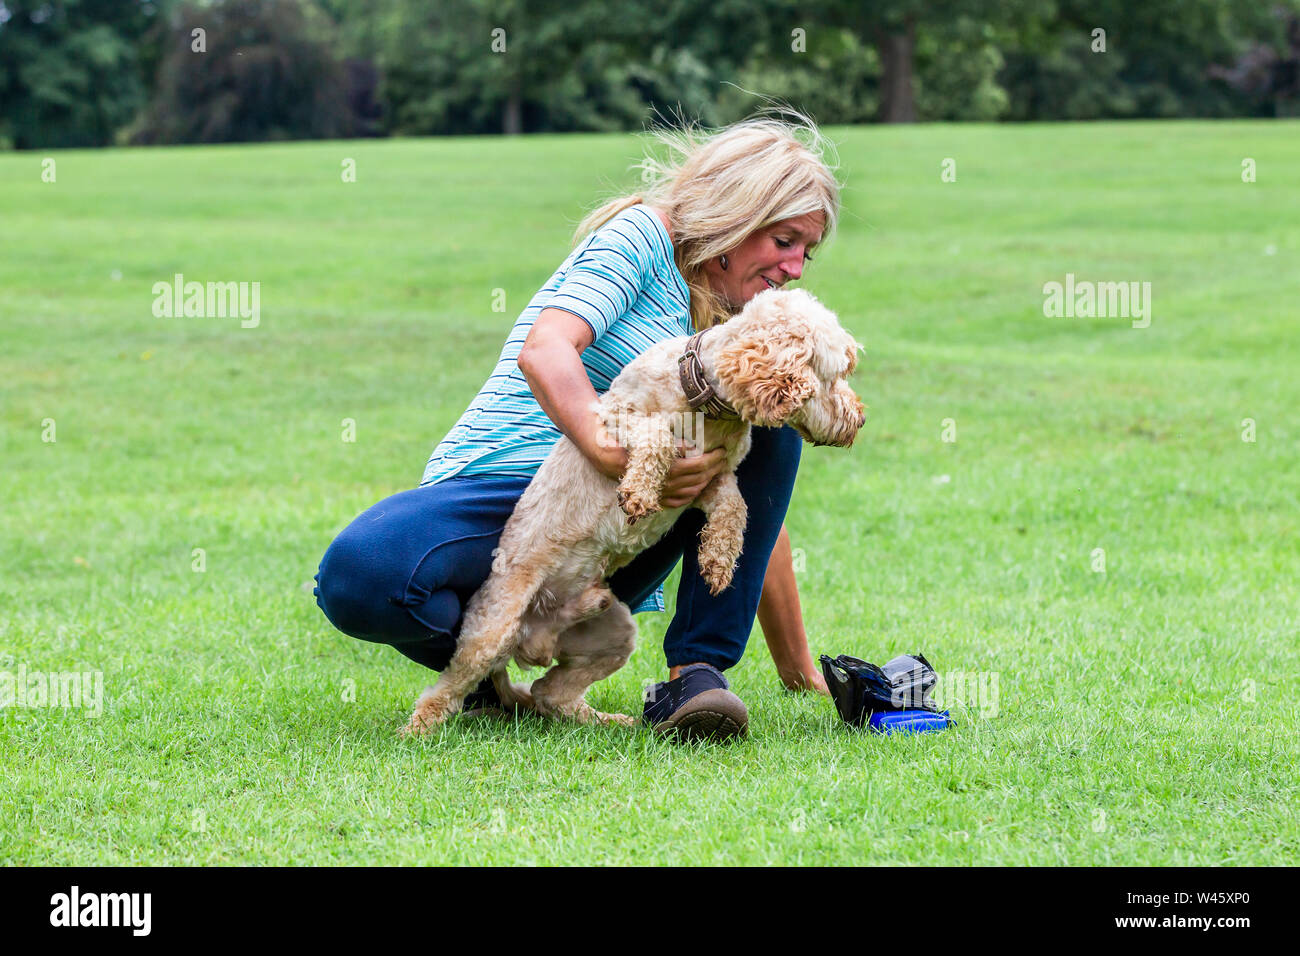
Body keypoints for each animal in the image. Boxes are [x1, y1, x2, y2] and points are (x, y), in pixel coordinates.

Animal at [395, 287, 863, 738]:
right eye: (835, 374)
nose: (859, 418)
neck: (703, 403)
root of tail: (533, 642)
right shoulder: (611, 416)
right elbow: (657, 434)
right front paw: (638, 491)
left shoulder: (712, 481)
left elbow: (736, 507)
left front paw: (718, 561)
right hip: (492, 629)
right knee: (450, 684)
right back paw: (418, 728)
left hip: (614, 634)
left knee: (551, 692)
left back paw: (604, 719)